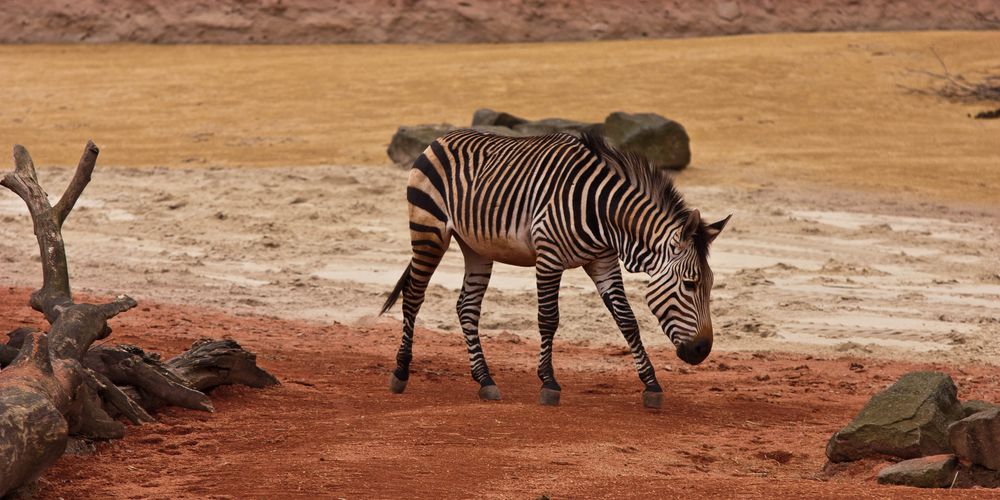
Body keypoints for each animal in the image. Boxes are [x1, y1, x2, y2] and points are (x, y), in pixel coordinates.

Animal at [378, 129, 732, 406]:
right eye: (689, 284)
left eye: (710, 285)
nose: (702, 350)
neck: (604, 214)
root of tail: (439, 139)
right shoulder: (549, 257)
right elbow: (548, 319)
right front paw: (548, 383)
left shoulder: (603, 262)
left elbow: (627, 321)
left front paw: (651, 385)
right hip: (428, 231)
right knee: (413, 297)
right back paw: (400, 373)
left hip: (476, 247)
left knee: (467, 307)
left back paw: (485, 380)